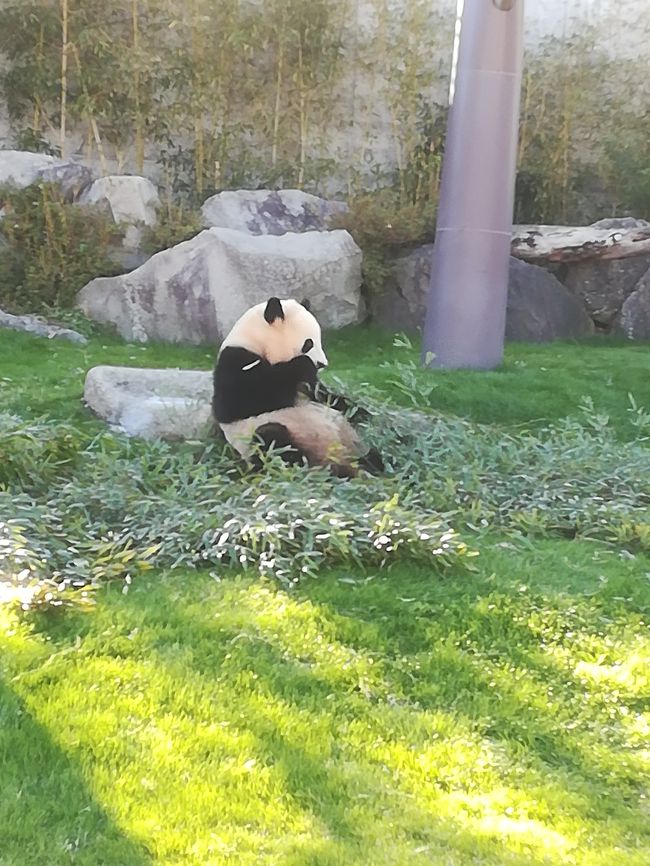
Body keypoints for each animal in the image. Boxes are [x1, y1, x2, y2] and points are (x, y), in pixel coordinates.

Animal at [210, 294, 382, 476]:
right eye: (309, 343)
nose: (322, 364)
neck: (255, 342)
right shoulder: (235, 364)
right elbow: (242, 402)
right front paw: (304, 364)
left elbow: (328, 397)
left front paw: (363, 411)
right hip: (270, 438)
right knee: (272, 440)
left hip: (349, 437)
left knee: (365, 448)